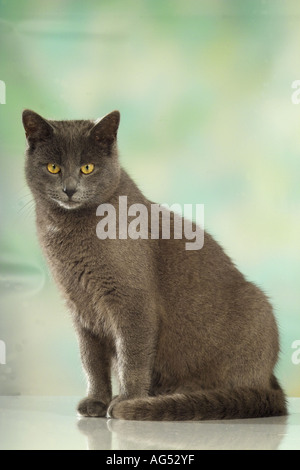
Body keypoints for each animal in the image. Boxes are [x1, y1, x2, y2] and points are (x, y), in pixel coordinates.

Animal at [22, 109, 286, 418]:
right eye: (53, 167)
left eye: (87, 168)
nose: (70, 189)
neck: (69, 232)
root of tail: (271, 382)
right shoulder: (81, 309)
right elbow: (91, 361)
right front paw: (97, 401)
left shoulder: (133, 303)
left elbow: (132, 357)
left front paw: (128, 401)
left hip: (257, 304)